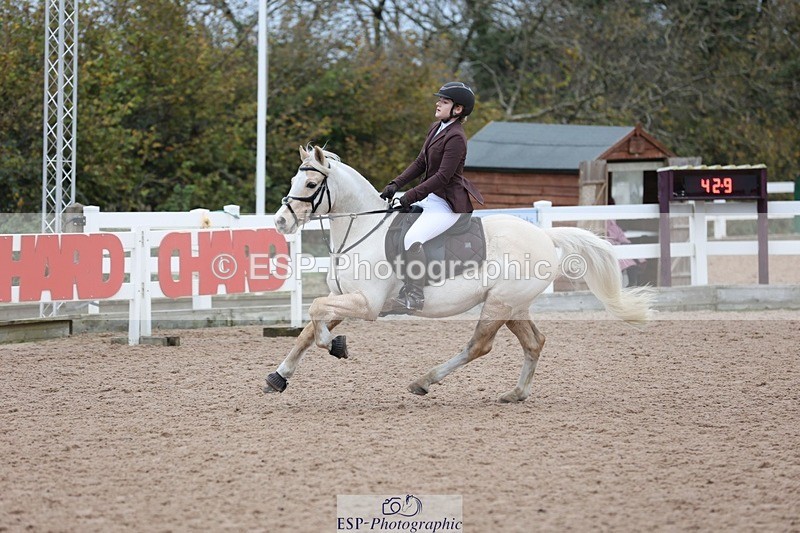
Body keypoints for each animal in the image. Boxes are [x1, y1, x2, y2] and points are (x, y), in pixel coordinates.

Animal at [264, 145, 654, 402]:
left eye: (311, 186)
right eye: (294, 180)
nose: (281, 222)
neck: (362, 228)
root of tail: (545, 235)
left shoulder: (367, 303)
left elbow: (315, 312)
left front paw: (335, 345)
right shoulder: (344, 297)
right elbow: (309, 326)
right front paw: (278, 377)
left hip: (499, 304)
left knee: (479, 345)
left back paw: (424, 381)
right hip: (513, 306)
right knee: (534, 342)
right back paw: (515, 393)